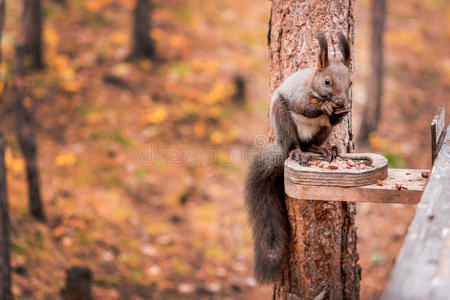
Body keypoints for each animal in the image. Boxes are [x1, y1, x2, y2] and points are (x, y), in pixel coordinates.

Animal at [244, 32, 354, 284]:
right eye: (327, 82)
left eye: (351, 83)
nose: (342, 103)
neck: (313, 85)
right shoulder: (299, 96)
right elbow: (305, 107)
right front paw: (323, 106)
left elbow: (333, 119)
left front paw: (342, 112)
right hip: (283, 120)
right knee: (294, 144)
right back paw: (298, 152)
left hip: (321, 131)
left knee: (315, 140)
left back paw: (322, 150)